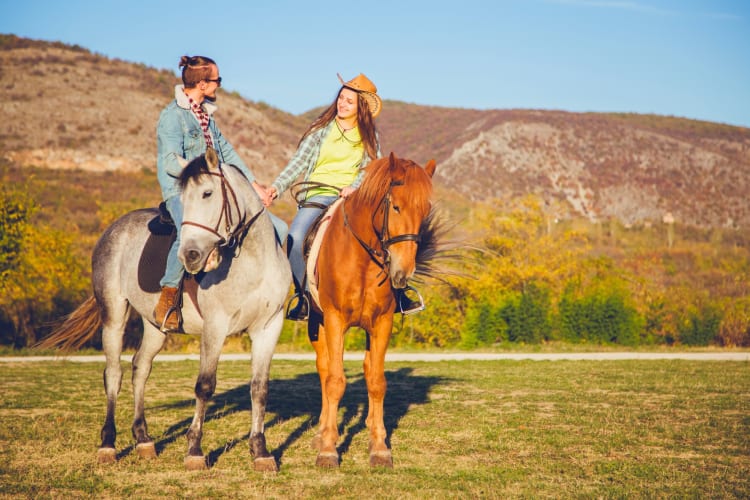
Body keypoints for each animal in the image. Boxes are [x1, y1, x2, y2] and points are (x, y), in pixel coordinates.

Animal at [38, 149, 292, 472]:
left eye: (207, 193)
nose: (190, 256)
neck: (252, 262)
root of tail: (114, 228)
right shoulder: (215, 327)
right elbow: (204, 386)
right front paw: (194, 450)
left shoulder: (268, 327)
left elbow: (259, 388)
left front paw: (260, 451)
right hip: (114, 315)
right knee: (114, 373)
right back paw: (108, 444)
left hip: (156, 327)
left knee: (140, 368)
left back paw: (143, 440)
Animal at [306, 153, 434, 468]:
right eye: (396, 206)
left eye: (425, 212)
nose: (403, 272)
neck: (362, 257)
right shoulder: (335, 319)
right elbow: (335, 381)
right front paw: (328, 449)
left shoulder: (382, 323)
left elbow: (376, 382)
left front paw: (379, 446)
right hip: (317, 321)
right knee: (325, 369)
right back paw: (322, 434)